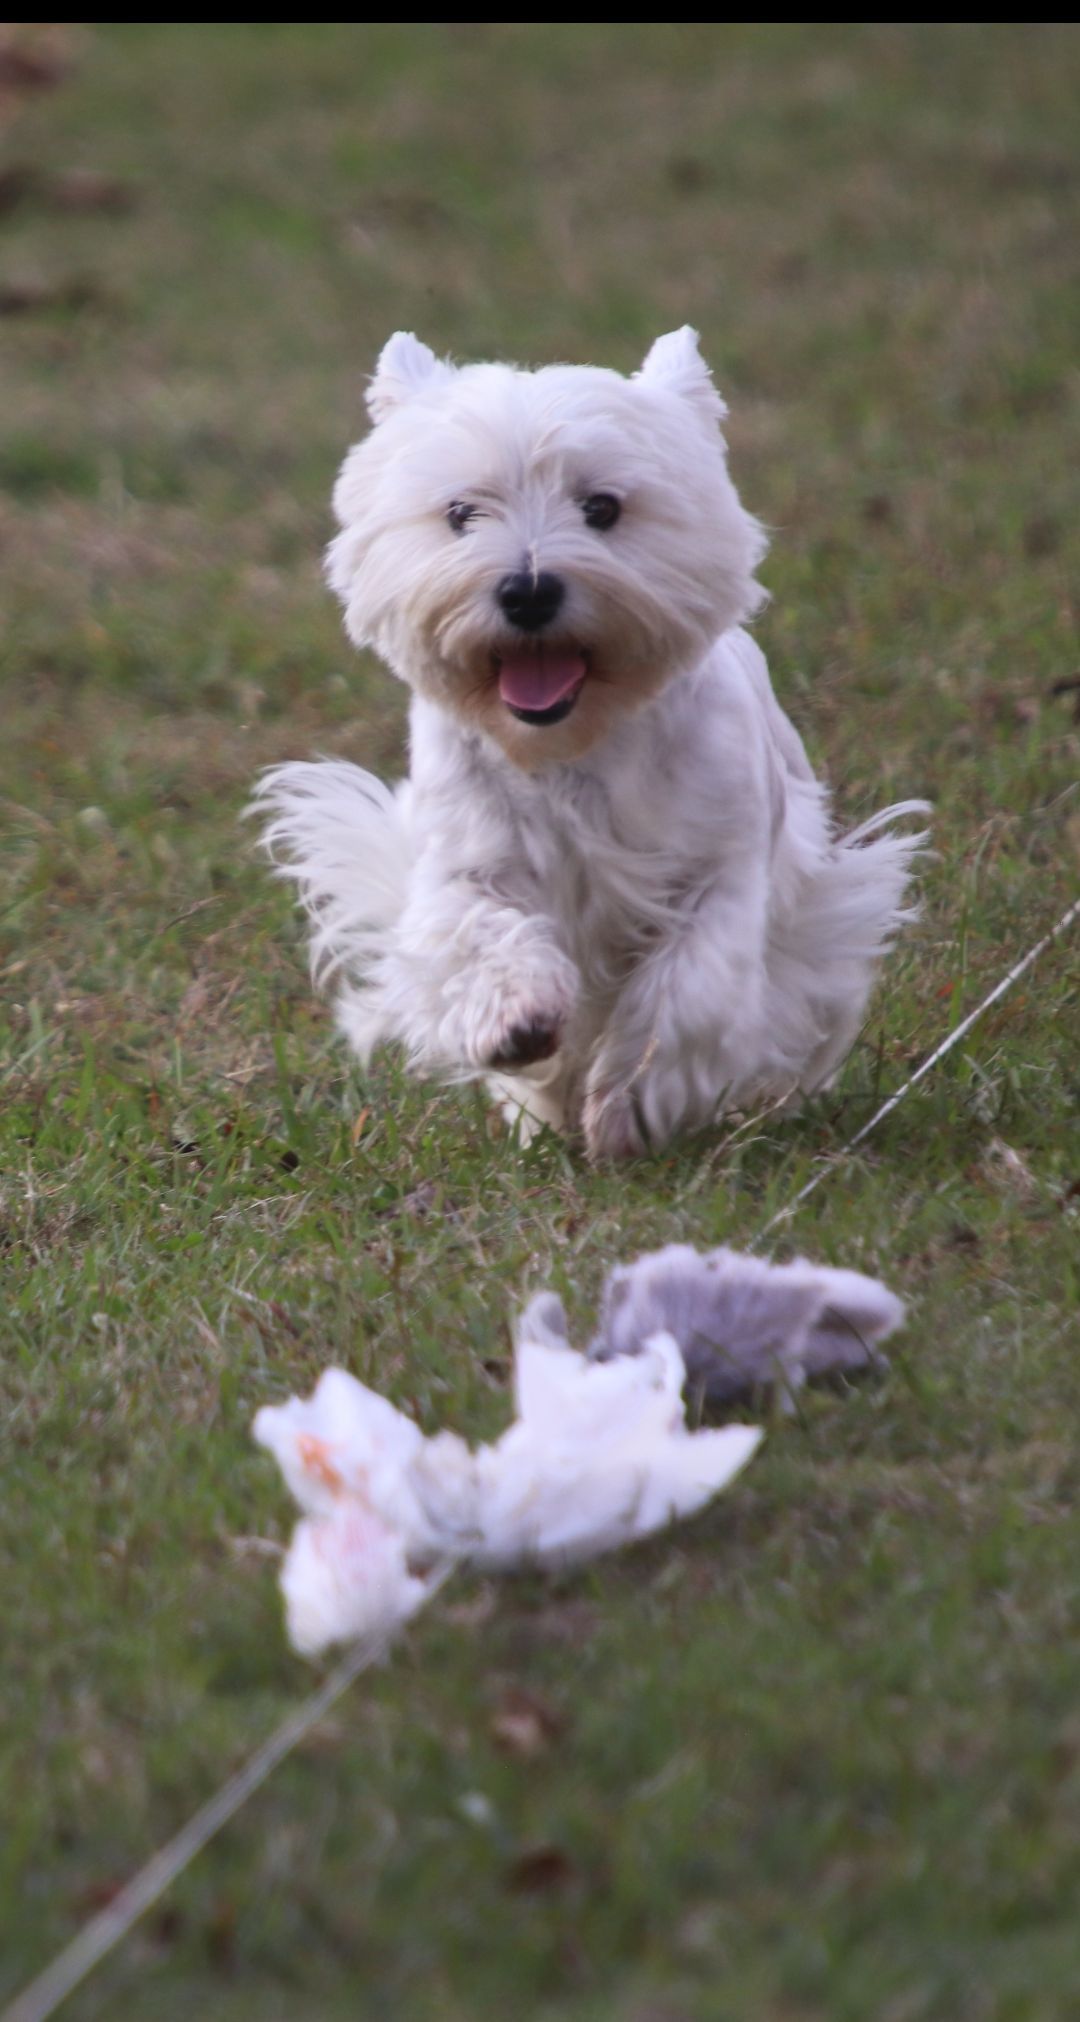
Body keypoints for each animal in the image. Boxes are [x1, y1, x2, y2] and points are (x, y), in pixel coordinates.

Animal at [253, 329, 930, 1156]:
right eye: (460, 512)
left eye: (602, 507)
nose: (528, 590)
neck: (572, 746)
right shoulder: (469, 862)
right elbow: (480, 935)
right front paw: (517, 1024)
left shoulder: (721, 869)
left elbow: (689, 985)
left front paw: (629, 1104)